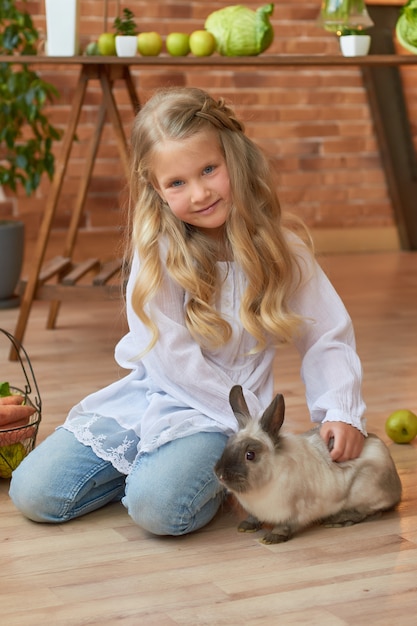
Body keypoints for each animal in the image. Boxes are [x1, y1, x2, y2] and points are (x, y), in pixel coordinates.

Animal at [214, 380, 400, 540]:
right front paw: (245, 526)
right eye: (228, 444)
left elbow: (285, 526)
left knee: (369, 513)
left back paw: (337, 520)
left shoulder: (296, 512)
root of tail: (397, 486)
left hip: (363, 493)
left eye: (250, 455)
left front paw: (272, 538)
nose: (220, 474)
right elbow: (253, 518)